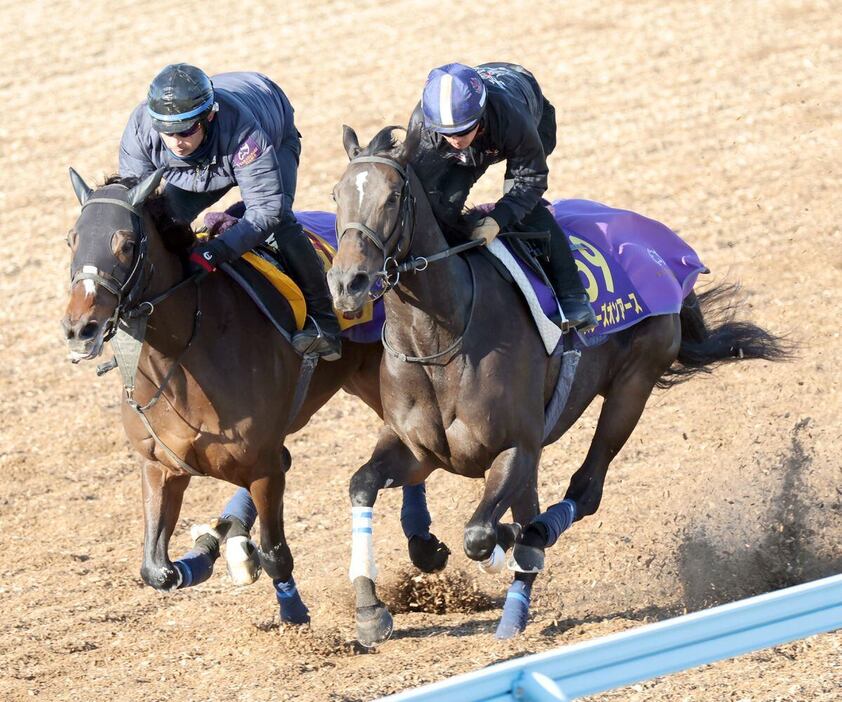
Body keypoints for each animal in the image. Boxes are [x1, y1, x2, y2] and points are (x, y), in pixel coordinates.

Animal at [61, 170, 450, 628]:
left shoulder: (262, 469)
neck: (183, 352)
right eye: (72, 239)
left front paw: (294, 612)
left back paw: (421, 540)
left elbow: (276, 553)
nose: (79, 328)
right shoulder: (161, 466)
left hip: (380, 378)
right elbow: (158, 570)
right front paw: (213, 549)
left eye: (124, 244)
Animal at [324, 125, 788, 644]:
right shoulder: (417, 448)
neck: (439, 337)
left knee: (581, 492)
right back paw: (515, 601)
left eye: (392, 197)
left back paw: (532, 546)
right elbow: (362, 485)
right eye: (337, 195)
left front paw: (502, 544)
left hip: (633, 385)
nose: (347, 284)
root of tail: (666, 252)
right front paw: (371, 610)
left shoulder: (516, 447)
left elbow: (479, 536)